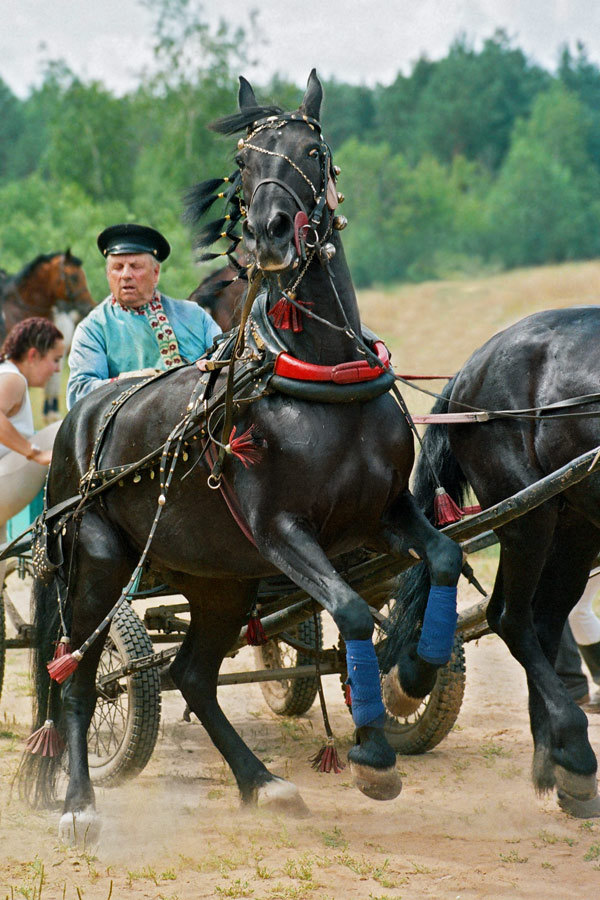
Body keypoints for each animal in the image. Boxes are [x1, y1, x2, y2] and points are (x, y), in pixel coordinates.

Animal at [21, 74, 462, 840]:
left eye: (312, 151)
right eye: (244, 163)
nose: (269, 232)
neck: (321, 377)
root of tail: (80, 419)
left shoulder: (384, 510)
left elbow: (442, 555)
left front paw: (416, 668)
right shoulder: (281, 530)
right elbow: (352, 611)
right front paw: (374, 753)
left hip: (218, 579)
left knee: (194, 676)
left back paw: (262, 781)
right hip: (100, 568)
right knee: (77, 675)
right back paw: (79, 802)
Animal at [392, 306, 600, 820]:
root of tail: (470, 368)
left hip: (570, 522)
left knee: (538, 622)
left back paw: (556, 762)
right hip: (529, 514)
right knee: (511, 618)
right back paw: (574, 752)